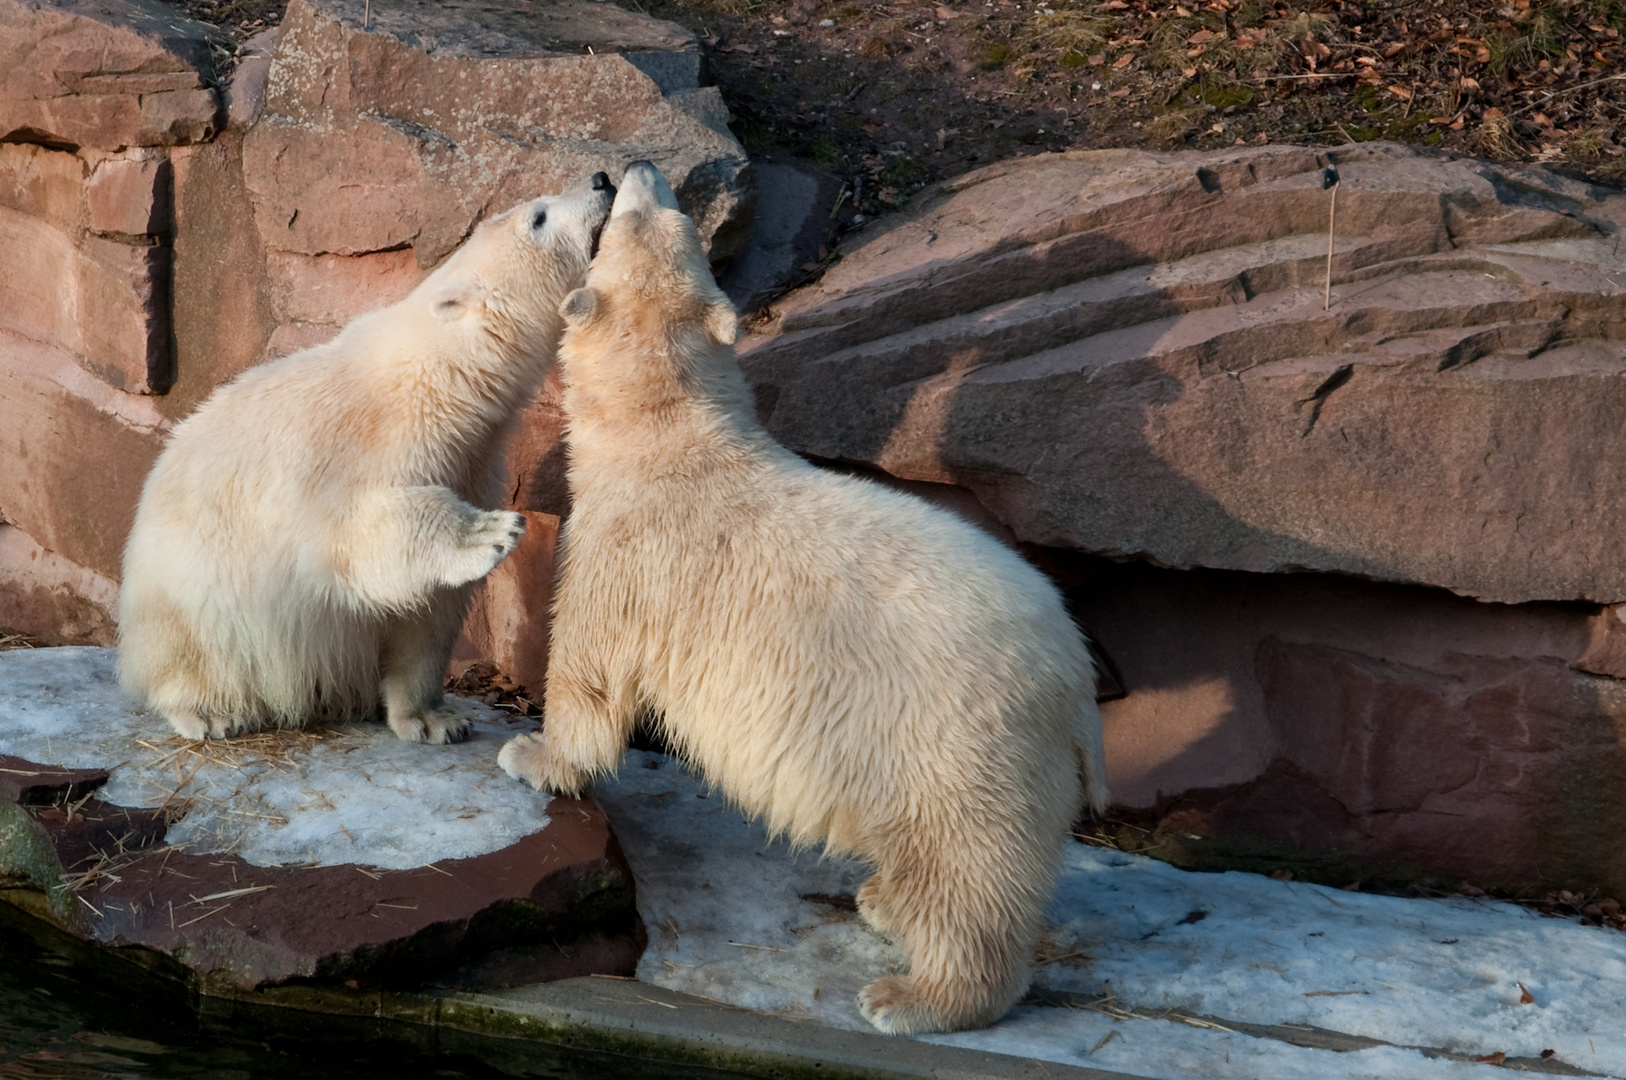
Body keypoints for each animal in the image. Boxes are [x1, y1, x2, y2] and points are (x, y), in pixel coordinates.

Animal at [117, 173, 617, 748]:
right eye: (538, 216)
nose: (602, 179)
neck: (444, 380)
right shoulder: (363, 447)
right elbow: (352, 535)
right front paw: (489, 533)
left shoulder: (471, 457)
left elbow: (429, 617)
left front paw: (434, 718)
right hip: (191, 590)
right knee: (195, 646)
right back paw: (209, 712)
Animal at [494, 162, 1105, 1040]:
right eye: (672, 210)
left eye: (638, 218)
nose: (632, 168)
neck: (665, 435)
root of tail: (1077, 682)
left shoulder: (623, 559)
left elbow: (589, 676)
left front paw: (533, 755)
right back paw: (884, 901)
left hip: (963, 738)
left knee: (965, 869)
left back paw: (913, 995)